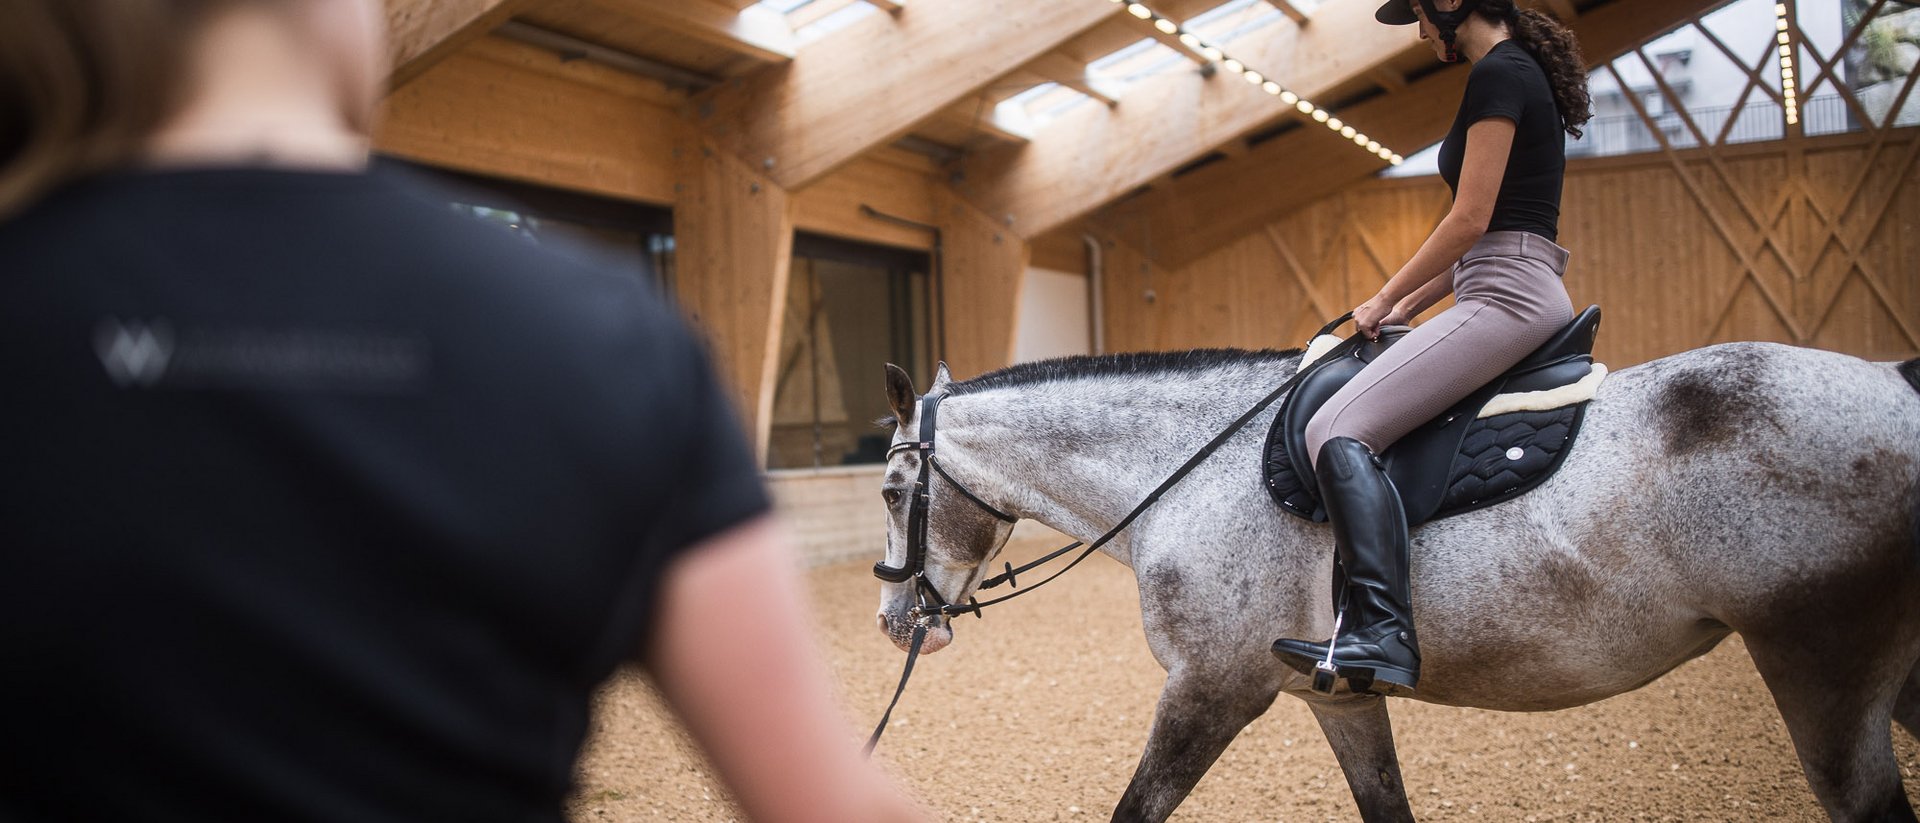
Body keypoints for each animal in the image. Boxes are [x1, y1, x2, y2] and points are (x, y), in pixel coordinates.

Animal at [871, 343, 1920, 822]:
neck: (1193, 468)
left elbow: (1138, 806)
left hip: (1823, 671)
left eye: (890, 488)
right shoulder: (1335, 695)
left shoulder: (1210, 689)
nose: (892, 616)